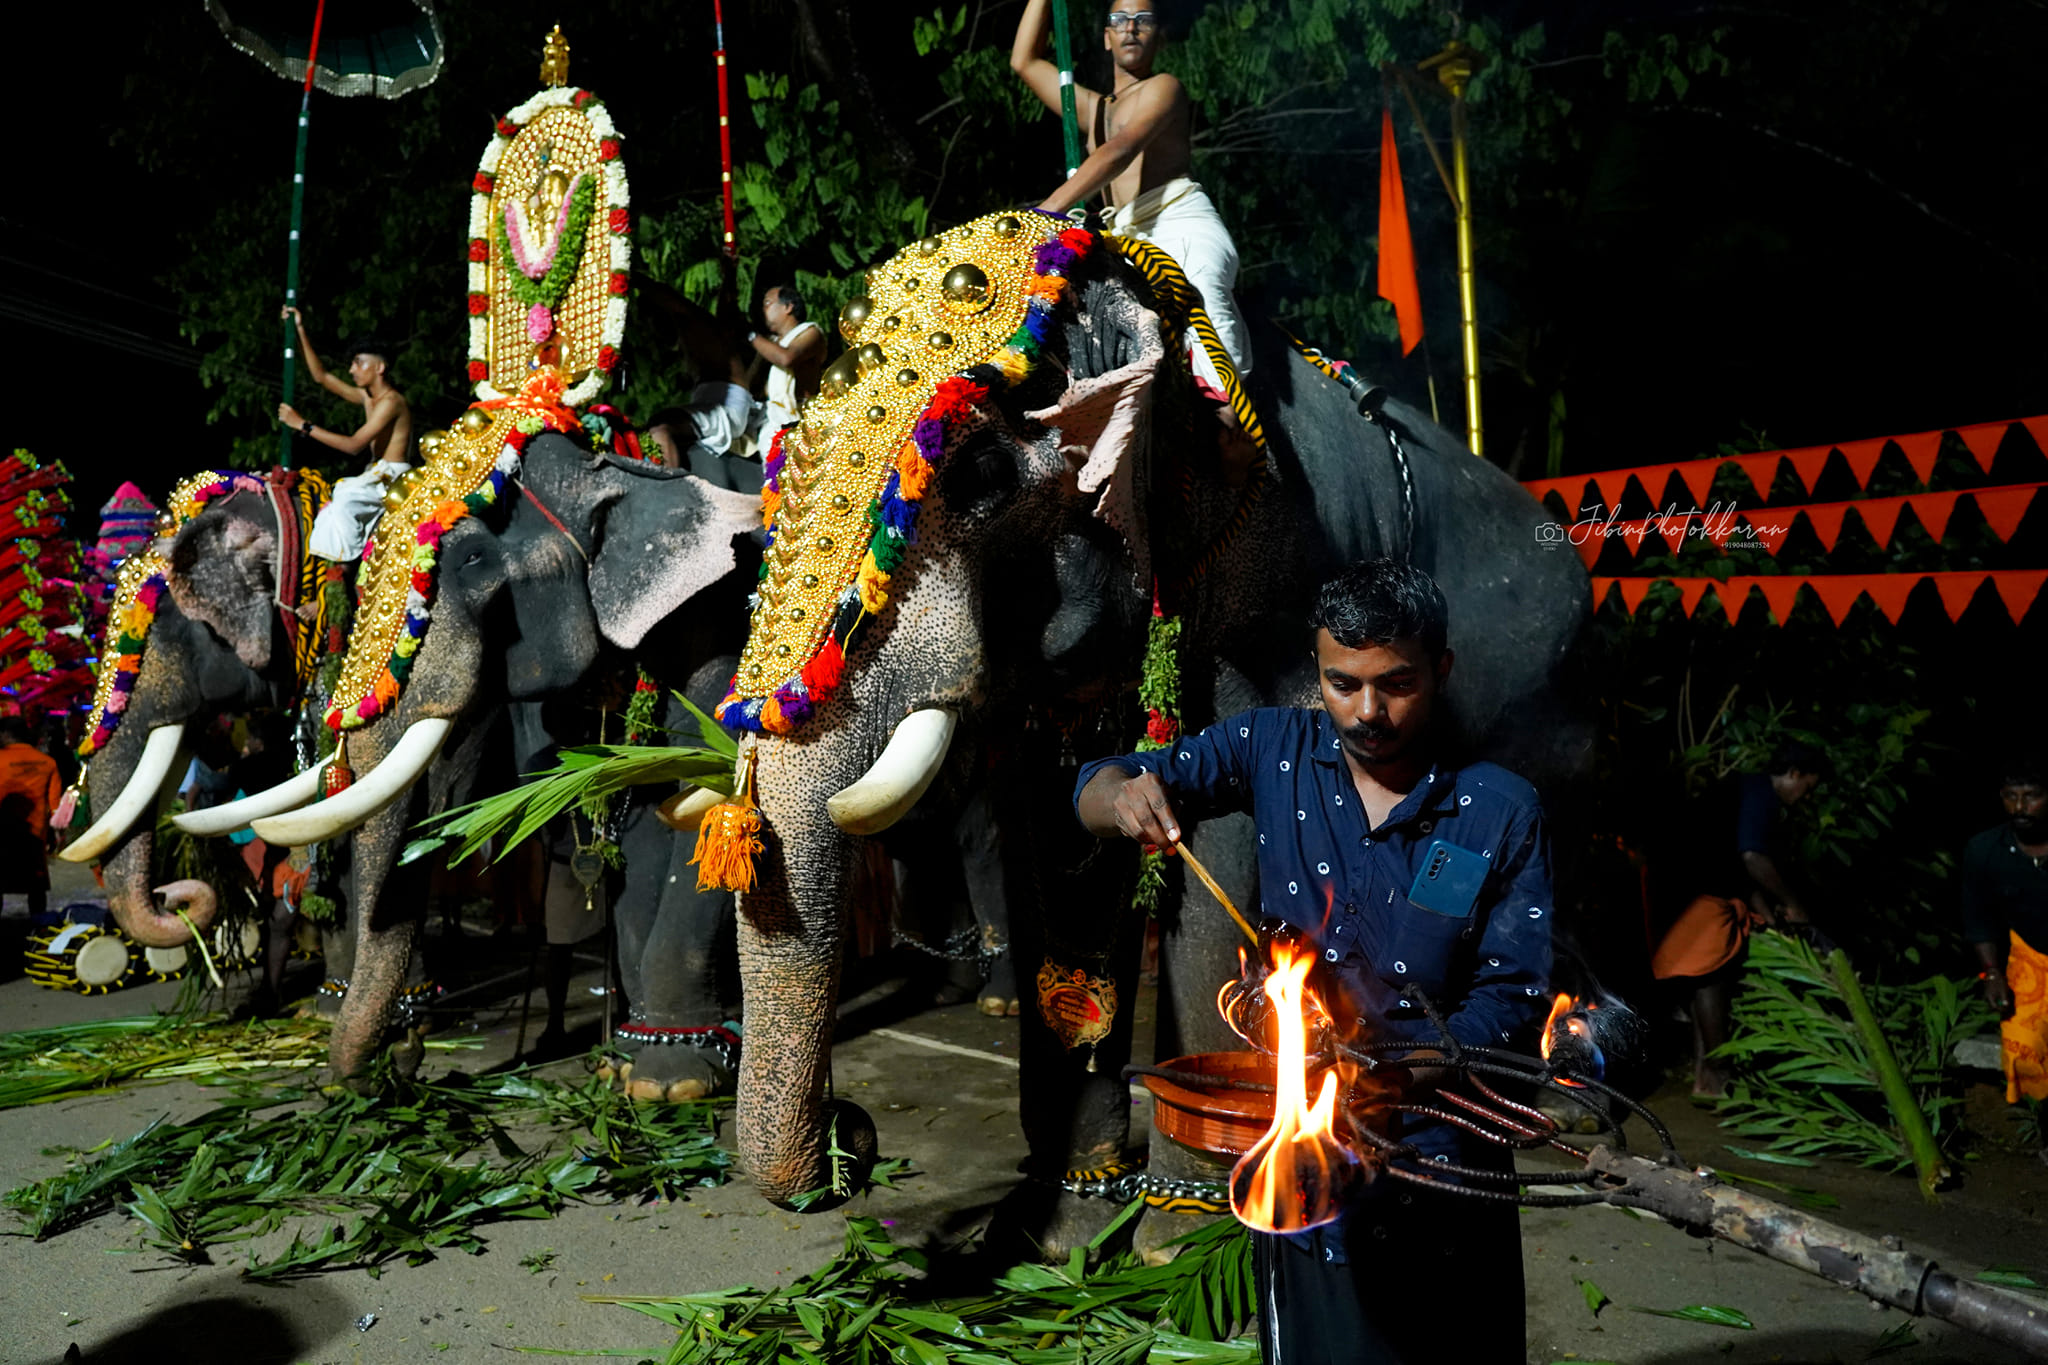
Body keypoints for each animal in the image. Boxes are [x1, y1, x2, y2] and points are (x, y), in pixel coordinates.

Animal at [671, 215, 1581, 1227]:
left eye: (982, 474)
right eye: (777, 469)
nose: (853, 1138)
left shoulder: (1268, 579)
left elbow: (1227, 809)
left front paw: (1181, 1222)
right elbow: (1060, 820)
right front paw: (1069, 1213)